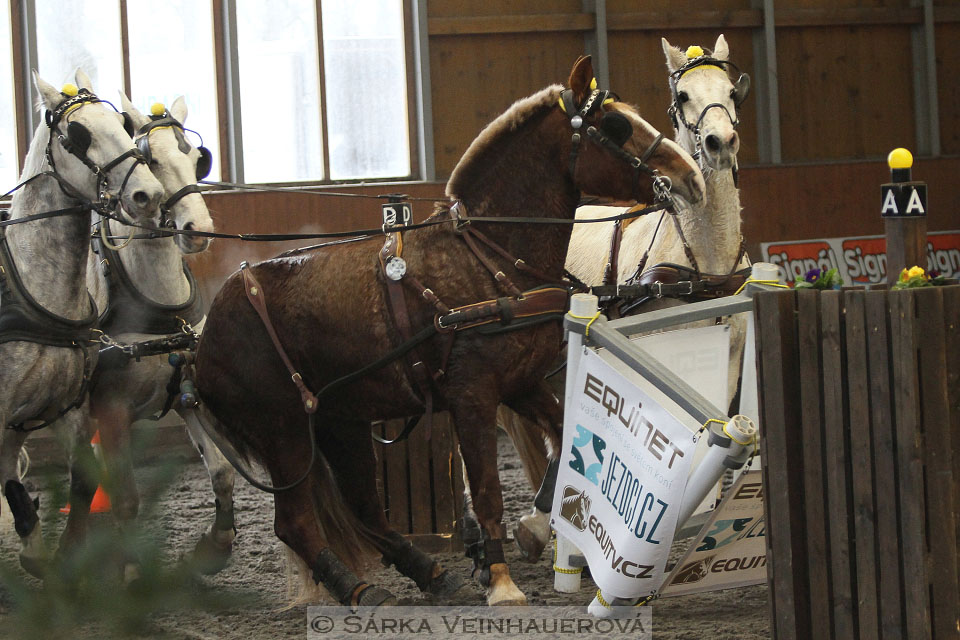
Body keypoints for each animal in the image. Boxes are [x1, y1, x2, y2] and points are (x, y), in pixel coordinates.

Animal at [0, 70, 163, 576]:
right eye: (78, 133)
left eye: (122, 125)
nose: (148, 195)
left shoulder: (68, 408)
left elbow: (81, 482)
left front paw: (57, 561)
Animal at [191, 55, 700, 604]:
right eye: (615, 125)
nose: (691, 178)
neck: (487, 258)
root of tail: (204, 337)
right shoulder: (472, 392)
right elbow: (488, 490)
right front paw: (500, 580)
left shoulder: (518, 383)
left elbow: (563, 441)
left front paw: (530, 532)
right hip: (284, 432)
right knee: (296, 522)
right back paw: (357, 587)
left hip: (340, 423)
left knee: (364, 509)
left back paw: (428, 573)